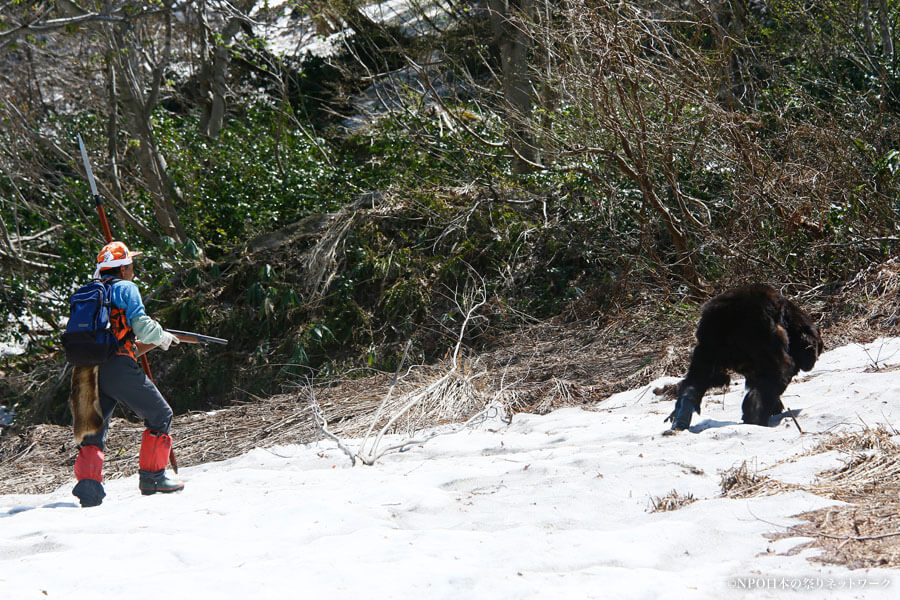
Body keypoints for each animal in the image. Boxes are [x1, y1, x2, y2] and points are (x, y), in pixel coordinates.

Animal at [664, 284, 828, 434]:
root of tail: (728, 317)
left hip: (708, 344)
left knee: (697, 378)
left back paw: (682, 415)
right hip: (760, 337)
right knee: (774, 377)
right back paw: (756, 418)